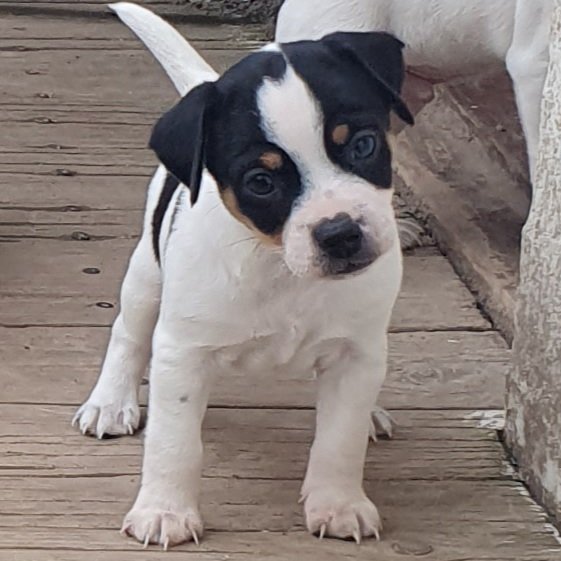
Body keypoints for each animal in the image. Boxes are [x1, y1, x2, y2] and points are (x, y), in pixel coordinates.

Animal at [72, 1, 414, 548]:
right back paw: (110, 400)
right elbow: (174, 443)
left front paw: (338, 503)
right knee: (128, 332)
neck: (279, 265)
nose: (340, 233)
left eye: (364, 145)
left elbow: (339, 439)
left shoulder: (357, 353)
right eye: (261, 182)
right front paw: (165, 511)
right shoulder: (183, 353)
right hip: (147, 277)